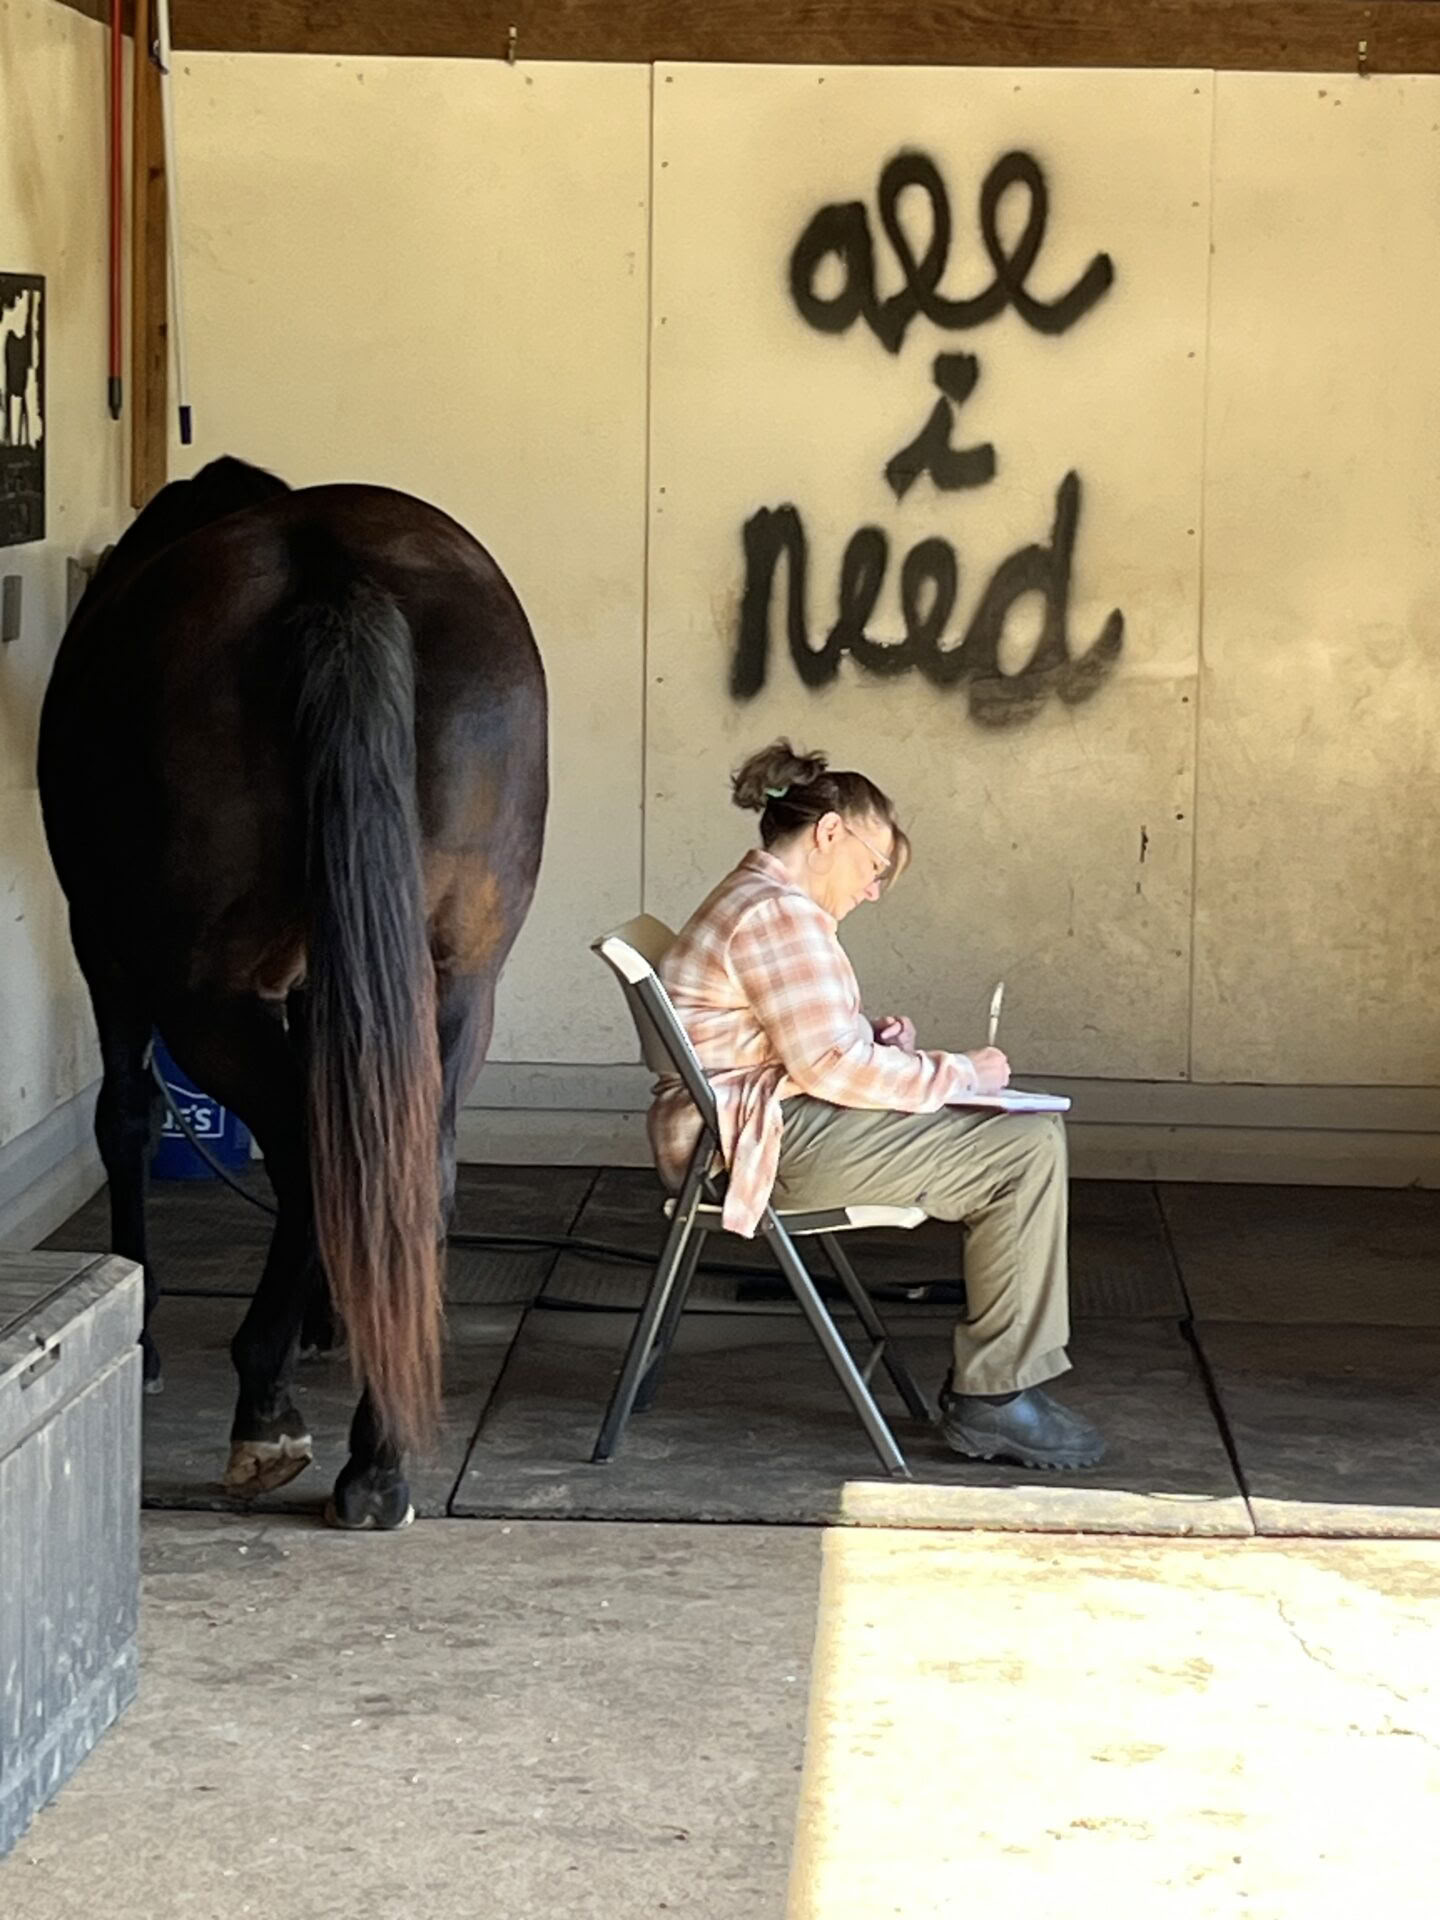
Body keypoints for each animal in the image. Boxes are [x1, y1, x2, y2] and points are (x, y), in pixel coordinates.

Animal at [38, 456, 547, 1529]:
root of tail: (334, 565)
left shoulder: (103, 950)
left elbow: (126, 1117)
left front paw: (147, 1332)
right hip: (459, 982)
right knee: (405, 1161)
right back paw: (379, 1455)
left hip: (200, 992)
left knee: (310, 1151)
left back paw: (270, 1410)